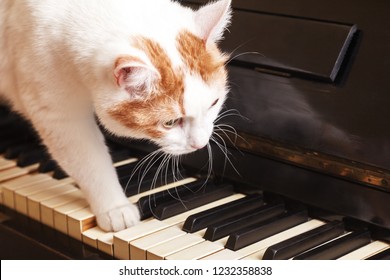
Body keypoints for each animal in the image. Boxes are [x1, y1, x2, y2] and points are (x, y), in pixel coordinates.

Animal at [0, 0, 232, 232]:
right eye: (170, 122)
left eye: (214, 103)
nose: (200, 144)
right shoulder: (58, 115)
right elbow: (89, 161)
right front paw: (115, 207)